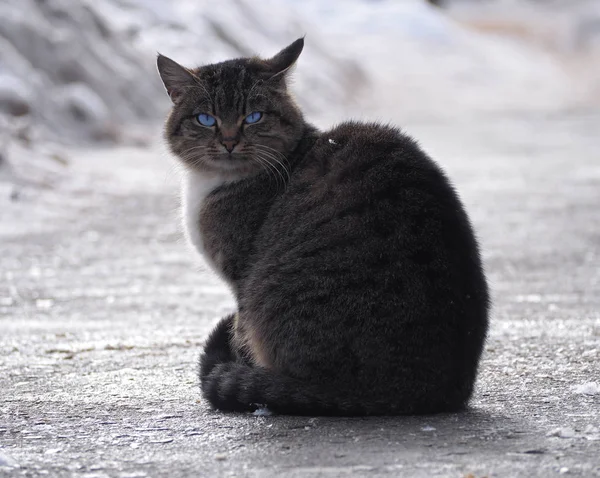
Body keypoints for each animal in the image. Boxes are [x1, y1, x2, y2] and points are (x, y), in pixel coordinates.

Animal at [157, 39, 490, 416]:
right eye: (205, 119)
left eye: (254, 117)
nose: (229, 141)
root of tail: (422, 389)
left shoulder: (241, 279)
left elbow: (240, 337)